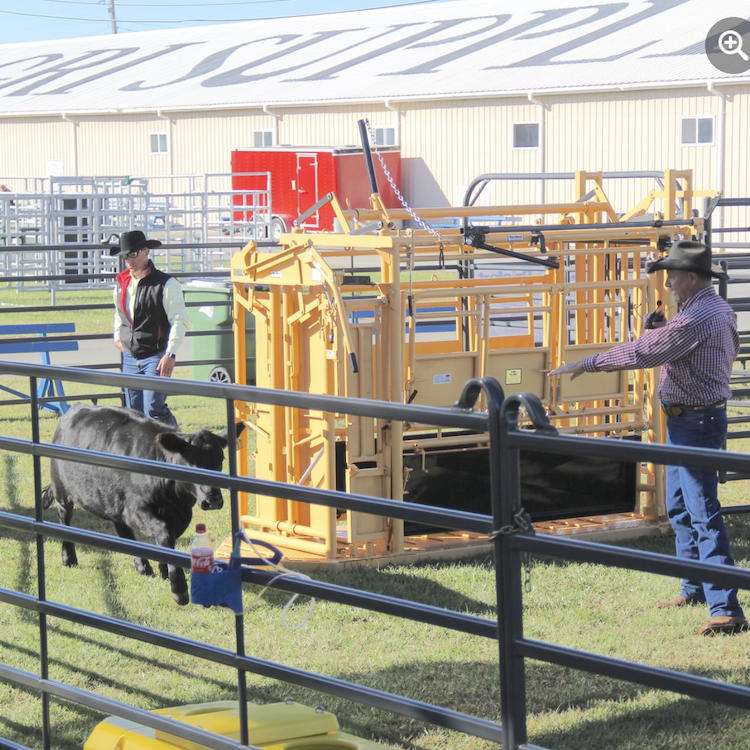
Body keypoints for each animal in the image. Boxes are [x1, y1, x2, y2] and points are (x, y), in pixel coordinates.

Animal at [42, 406, 247, 604]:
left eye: (220, 460)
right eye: (191, 463)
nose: (213, 499)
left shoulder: (181, 514)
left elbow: (167, 538)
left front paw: (164, 569)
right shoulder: (135, 510)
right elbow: (164, 533)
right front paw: (178, 588)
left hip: (113, 502)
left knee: (124, 533)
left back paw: (143, 566)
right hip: (63, 494)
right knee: (65, 520)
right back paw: (69, 558)